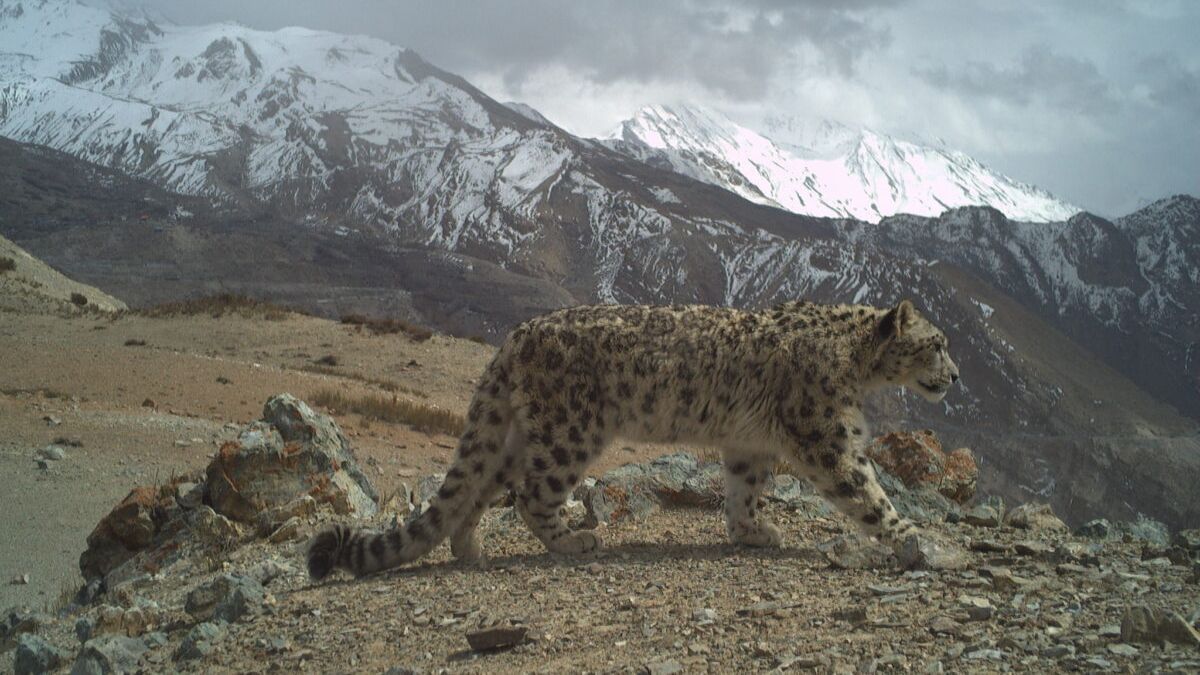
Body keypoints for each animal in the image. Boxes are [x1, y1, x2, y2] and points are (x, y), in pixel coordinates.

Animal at [307, 298, 960, 580]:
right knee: (532, 493)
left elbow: (744, 491)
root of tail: (516, 336)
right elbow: (867, 490)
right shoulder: (826, 436)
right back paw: (575, 540)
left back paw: (470, 547)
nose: (956, 376)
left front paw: (754, 532)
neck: (857, 365)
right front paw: (914, 538)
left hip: (519, 433)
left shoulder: (750, 444)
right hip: (571, 430)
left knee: (483, 485)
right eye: (936, 343)